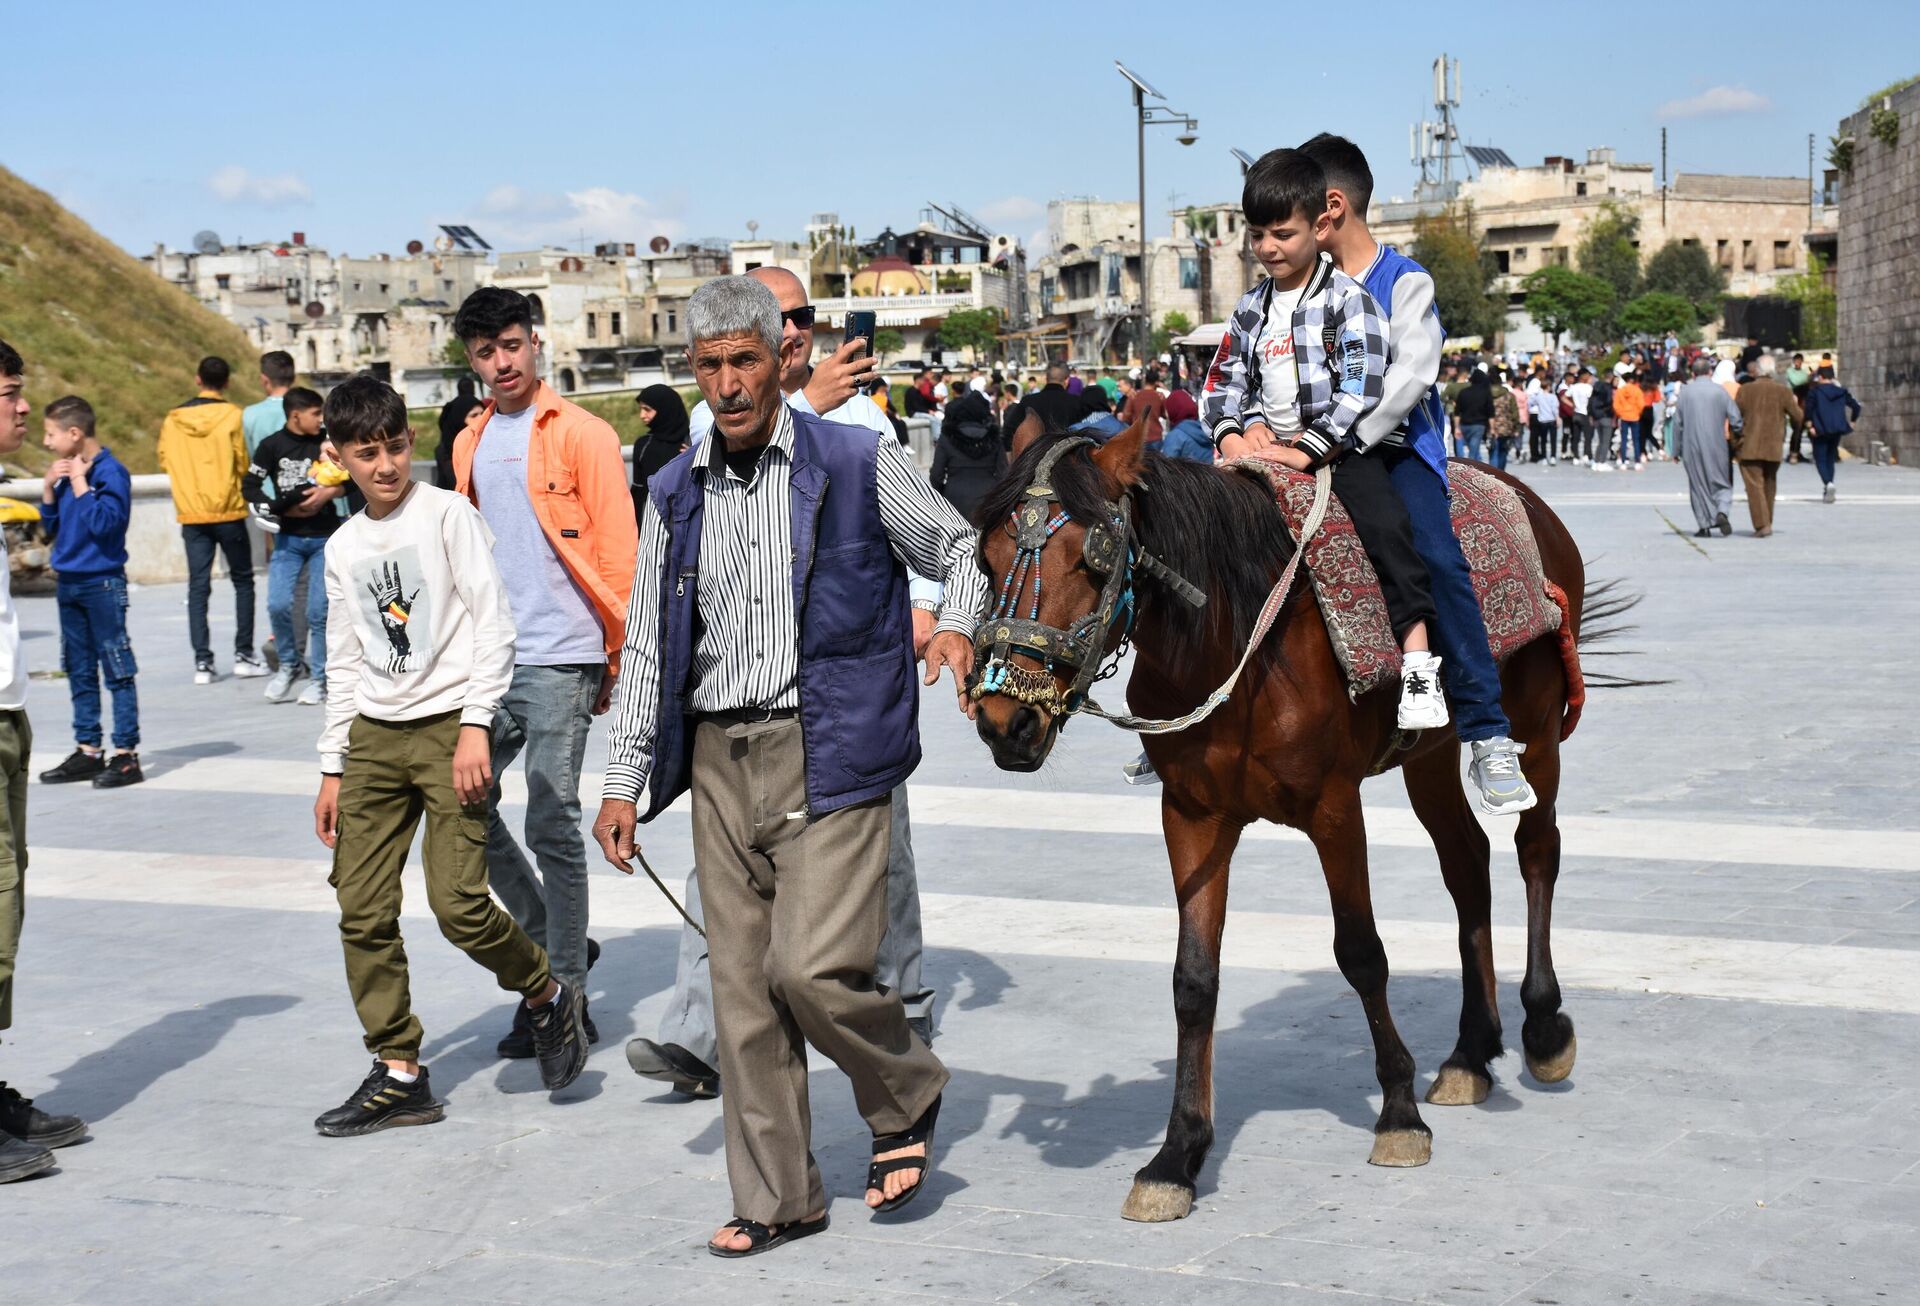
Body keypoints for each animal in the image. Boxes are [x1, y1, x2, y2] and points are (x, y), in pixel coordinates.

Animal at [975, 420, 1589, 1221]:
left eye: (1090, 559)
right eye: (984, 559)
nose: (1004, 722)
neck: (1236, 640)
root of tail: (1523, 494)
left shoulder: (1334, 808)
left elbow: (1362, 953)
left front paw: (1397, 1115)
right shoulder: (1193, 815)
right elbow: (1193, 979)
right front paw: (1177, 1156)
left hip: (1537, 728)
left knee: (1536, 848)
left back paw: (1541, 1029)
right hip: (1427, 757)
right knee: (1467, 867)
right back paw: (1469, 1052)